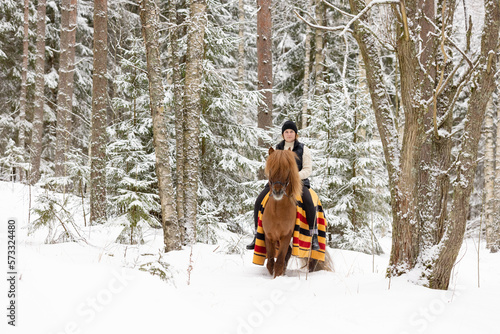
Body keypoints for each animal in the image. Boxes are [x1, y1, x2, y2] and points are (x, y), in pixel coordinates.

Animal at [262, 147, 300, 278]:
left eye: (287, 169)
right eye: (271, 168)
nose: (277, 191)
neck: (277, 213)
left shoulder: (286, 236)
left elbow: (279, 262)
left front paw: (277, 277)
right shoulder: (269, 236)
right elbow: (270, 263)